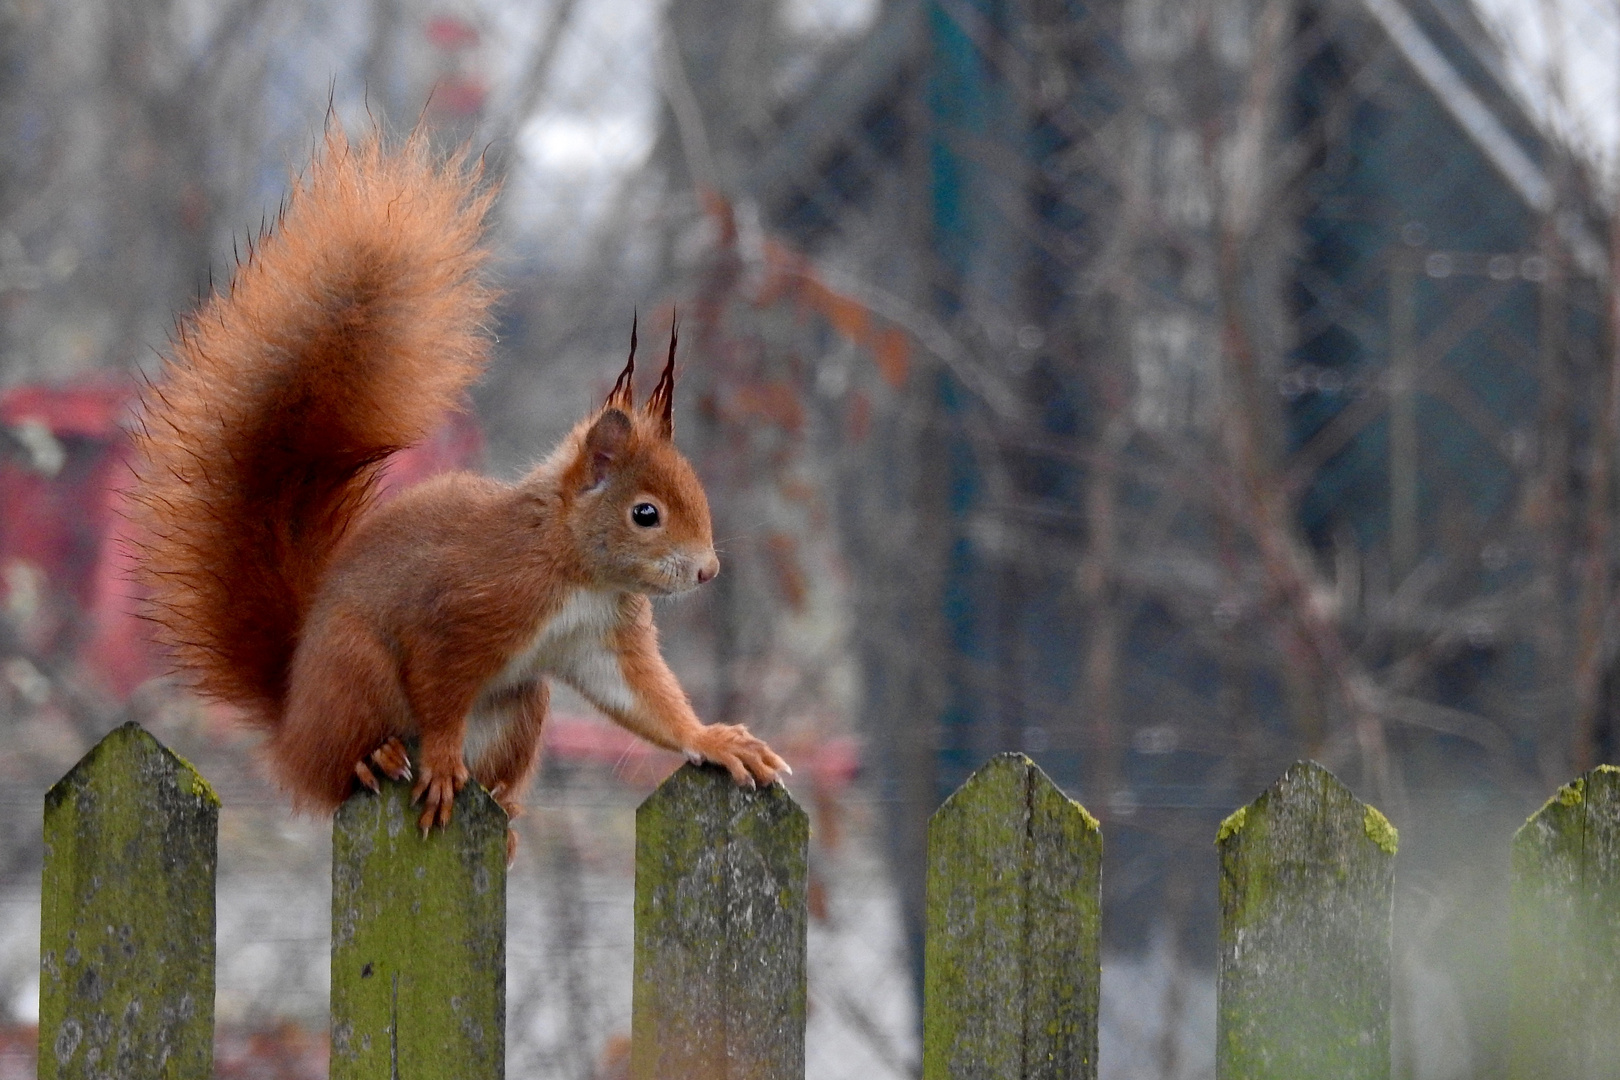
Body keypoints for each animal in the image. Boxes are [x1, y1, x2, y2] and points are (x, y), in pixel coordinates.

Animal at [126, 128, 784, 854]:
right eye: (646, 514)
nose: (708, 571)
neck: (575, 571)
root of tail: (292, 718)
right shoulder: (460, 614)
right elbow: (440, 691)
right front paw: (441, 761)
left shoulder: (606, 639)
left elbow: (648, 701)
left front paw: (714, 740)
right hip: (356, 672)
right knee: (339, 765)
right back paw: (378, 758)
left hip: (520, 705)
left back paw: (507, 814)